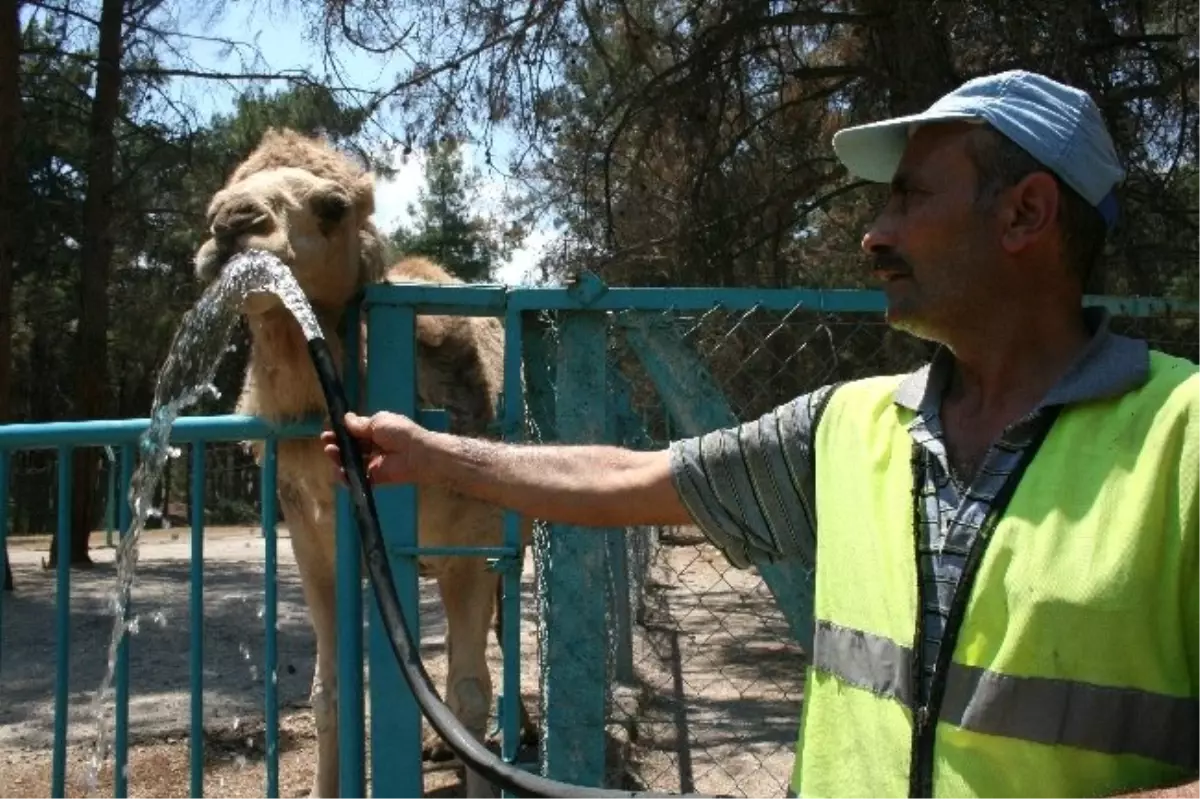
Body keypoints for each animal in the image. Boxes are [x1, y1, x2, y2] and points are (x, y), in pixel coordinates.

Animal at [190, 127, 535, 791]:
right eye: (215, 200)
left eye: (333, 206)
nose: (231, 223)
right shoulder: (315, 545)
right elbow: (330, 691)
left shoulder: (476, 544)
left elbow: (471, 691)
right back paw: (438, 747)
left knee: (500, 639)